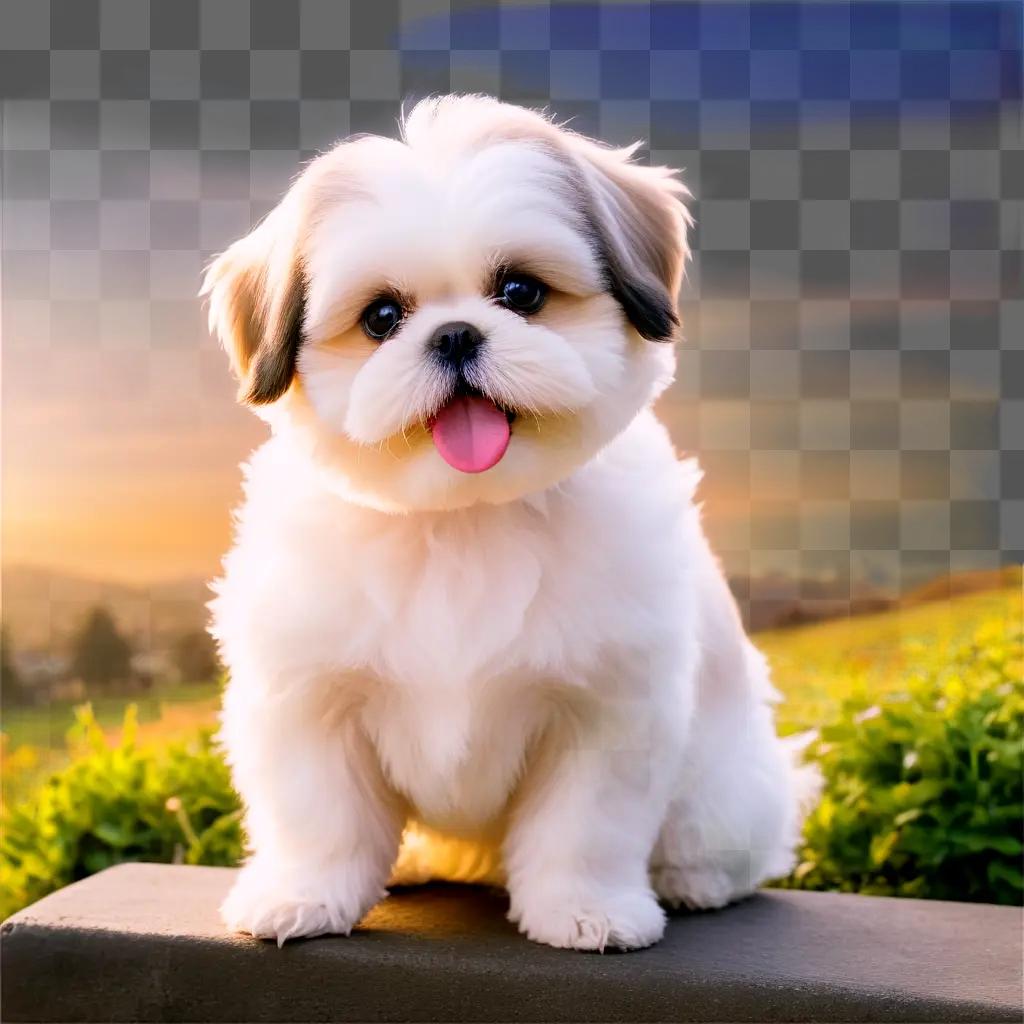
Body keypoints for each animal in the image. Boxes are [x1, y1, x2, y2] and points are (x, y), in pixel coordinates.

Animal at [199, 94, 806, 950]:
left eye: (520, 293)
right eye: (382, 317)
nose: (455, 334)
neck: (463, 518)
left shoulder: (603, 712)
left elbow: (584, 828)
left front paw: (587, 909)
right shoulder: (312, 700)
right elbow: (322, 817)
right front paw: (304, 895)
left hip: (725, 794)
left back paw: (693, 882)